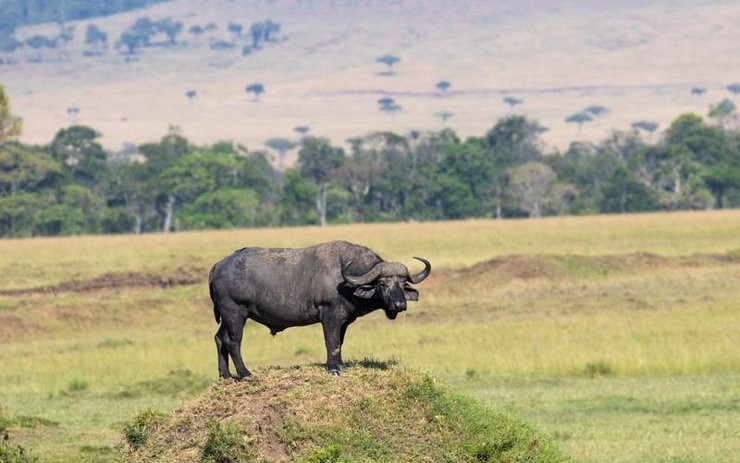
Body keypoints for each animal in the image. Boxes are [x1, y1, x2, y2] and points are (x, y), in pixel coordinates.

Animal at [205, 241, 430, 378]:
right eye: (383, 284)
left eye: (402, 284)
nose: (400, 305)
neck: (345, 279)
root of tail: (218, 266)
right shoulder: (330, 316)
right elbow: (331, 341)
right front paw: (333, 368)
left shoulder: (344, 320)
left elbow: (339, 343)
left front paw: (340, 365)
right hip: (235, 313)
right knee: (232, 341)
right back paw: (244, 373)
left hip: (227, 317)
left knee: (219, 338)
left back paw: (225, 375)